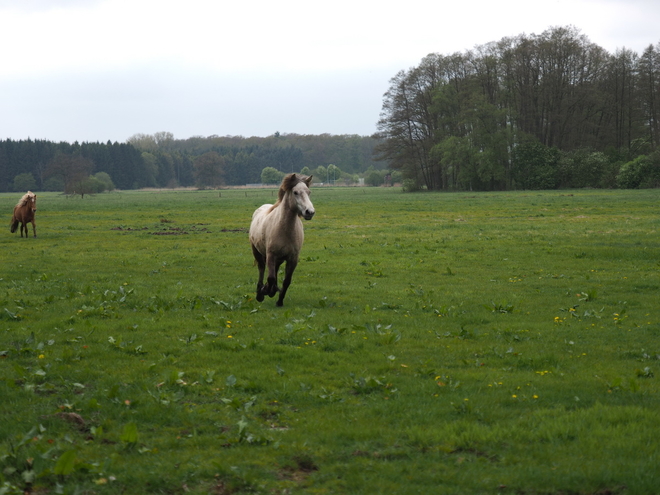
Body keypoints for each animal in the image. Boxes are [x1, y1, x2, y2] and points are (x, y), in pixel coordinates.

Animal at [250, 173, 318, 306]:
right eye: (295, 192)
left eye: (309, 192)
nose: (310, 212)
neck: (285, 230)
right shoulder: (270, 254)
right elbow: (270, 277)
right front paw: (265, 290)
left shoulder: (293, 259)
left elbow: (286, 281)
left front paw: (279, 301)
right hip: (257, 251)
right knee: (262, 268)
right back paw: (260, 293)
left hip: (279, 258)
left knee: (275, 270)